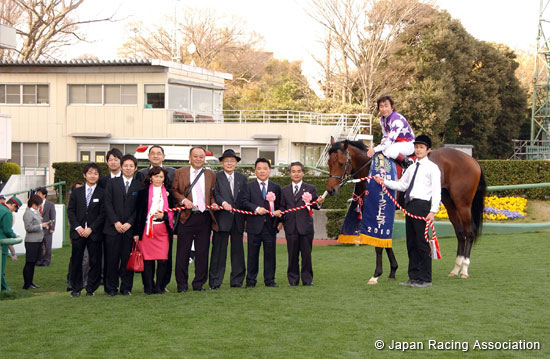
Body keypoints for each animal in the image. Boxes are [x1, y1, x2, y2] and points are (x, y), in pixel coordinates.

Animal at [328, 137, 488, 282]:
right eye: (328, 163)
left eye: (341, 163)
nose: (331, 190)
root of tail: (472, 160)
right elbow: (385, 241)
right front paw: (392, 270)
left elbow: (380, 243)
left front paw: (376, 274)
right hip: (450, 204)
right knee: (460, 233)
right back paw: (456, 268)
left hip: (463, 204)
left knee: (469, 232)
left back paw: (464, 269)